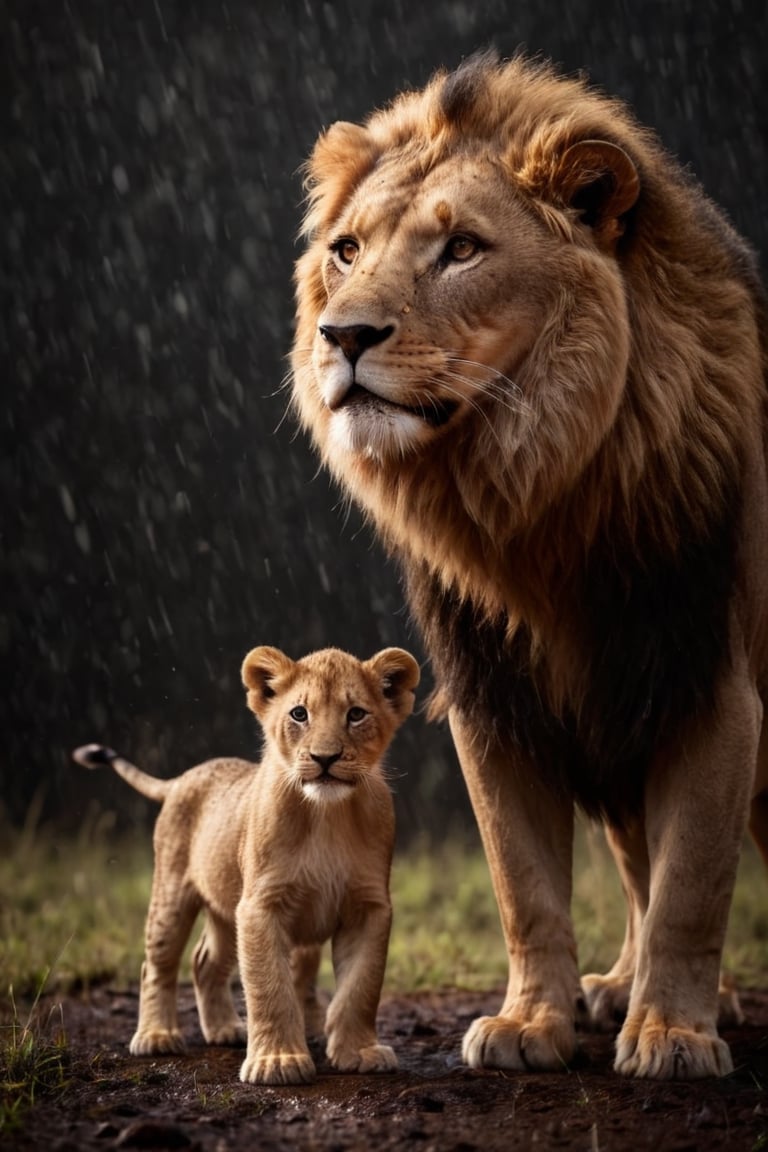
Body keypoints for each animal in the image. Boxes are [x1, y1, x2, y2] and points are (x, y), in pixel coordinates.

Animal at [290, 51, 768, 1078]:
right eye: (346, 250)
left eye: (463, 249)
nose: (342, 336)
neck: (539, 492)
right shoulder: (496, 697)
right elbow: (529, 887)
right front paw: (529, 1024)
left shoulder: (710, 682)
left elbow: (693, 887)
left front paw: (673, 1036)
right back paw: (620, 987)